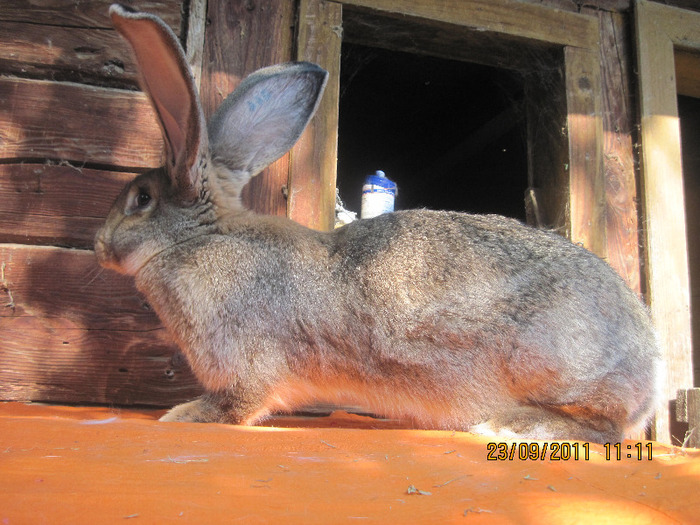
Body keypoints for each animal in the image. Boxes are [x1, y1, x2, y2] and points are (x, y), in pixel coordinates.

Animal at [94, 4, 660, 442]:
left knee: (605, 428)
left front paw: (184, 414)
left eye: (141, 199)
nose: (98, 245)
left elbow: (238, 403)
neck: (199, 238)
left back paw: (510, 426)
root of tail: (652, 368)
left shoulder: (245, 365)